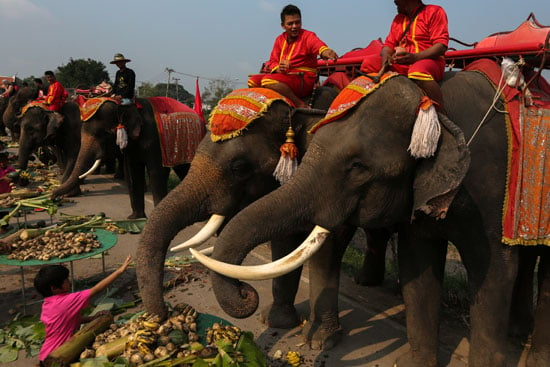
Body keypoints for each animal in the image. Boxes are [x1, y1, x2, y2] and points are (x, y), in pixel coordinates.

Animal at [51, 98, 201, 218]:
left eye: (105, 134)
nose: (53, 197)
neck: (126, 106)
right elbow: (132, 171)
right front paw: (134, 218)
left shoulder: (156, 142)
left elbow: (156, 171)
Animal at [193, 67, 550, 367]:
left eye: (358, 167)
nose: (246, 294)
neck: (438, 108)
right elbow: (417, 265)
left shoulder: (491, 188)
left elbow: (493, 270)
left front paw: (312, 337)